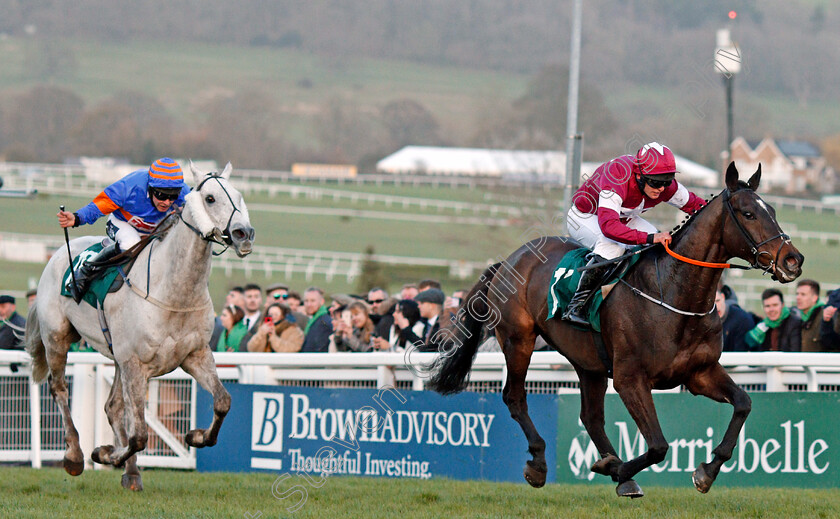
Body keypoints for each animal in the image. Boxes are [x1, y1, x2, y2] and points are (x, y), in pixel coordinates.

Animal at [27, 162, 256, 492]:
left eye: (238, 195)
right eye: (210, 198)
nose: (244, 233)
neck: (174, 291)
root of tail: (56, 255)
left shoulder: (195, 355)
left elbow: (223, 401)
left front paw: (195, 436)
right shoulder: (136, 363)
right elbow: (139, 435)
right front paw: (105, 453)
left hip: (118, 357)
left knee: (113, 407)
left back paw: (131, 472)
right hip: (57, 337)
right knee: (58, 388)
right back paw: (75, 455)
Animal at [430, 165, 804, 498]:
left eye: (772, 210)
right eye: (748, 213)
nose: (793, 260)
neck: (672, 293)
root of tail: (509, 260)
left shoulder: (700, 372)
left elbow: (743, 404)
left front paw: (705, 472)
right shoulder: (630, 378)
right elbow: (658, 445)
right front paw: (618, 468)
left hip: (588, 361)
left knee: (591, 416)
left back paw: (614, 468)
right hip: (518, 339)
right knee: (515, 396)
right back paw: (540, 463)